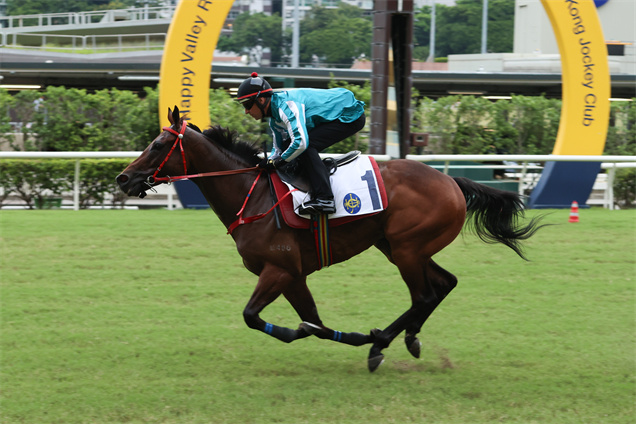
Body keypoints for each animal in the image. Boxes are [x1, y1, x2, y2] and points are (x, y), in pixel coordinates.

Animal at [117, 107, 544, 372]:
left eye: (158, 145)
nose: (123, 178)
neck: (252, 195)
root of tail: (451, 180)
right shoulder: (293, 275)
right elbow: (313, 321)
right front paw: (334, 333)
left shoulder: (279, 269)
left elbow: (256, 316)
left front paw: (352, 336)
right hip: (399, 246)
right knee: (444, 284)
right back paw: (406, 338)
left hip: (407, 248)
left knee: (424, 295)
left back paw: (380, 343)